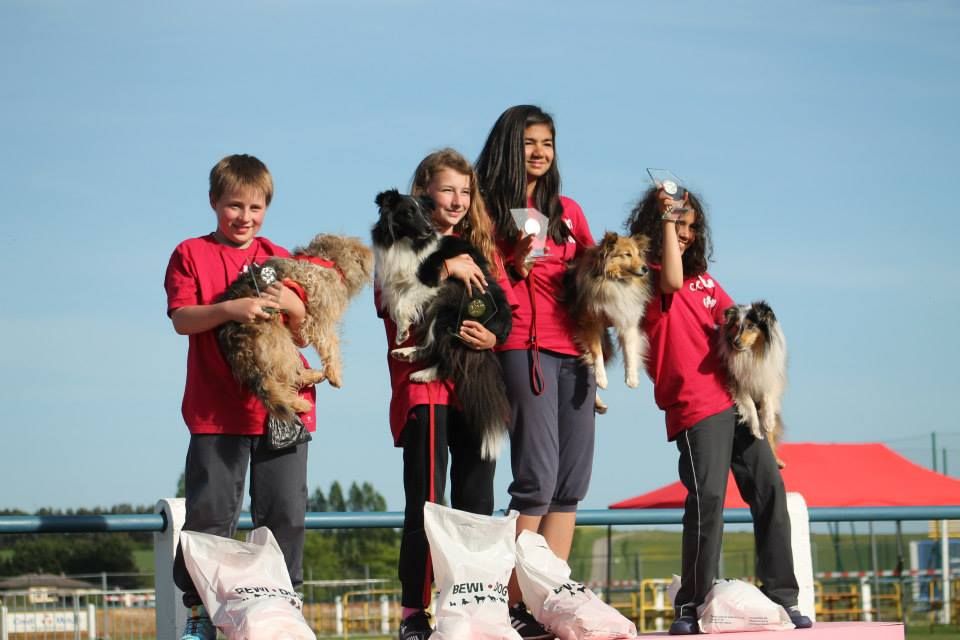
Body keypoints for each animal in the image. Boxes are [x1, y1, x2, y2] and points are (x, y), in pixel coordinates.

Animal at [219, 232, 374, 422]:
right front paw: (335, 373)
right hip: (278, 342)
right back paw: (300, 403)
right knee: (278, 379)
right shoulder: (320, 317)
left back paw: (311, 376)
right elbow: (331, 345)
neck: (327, 260)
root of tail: (236, 342)